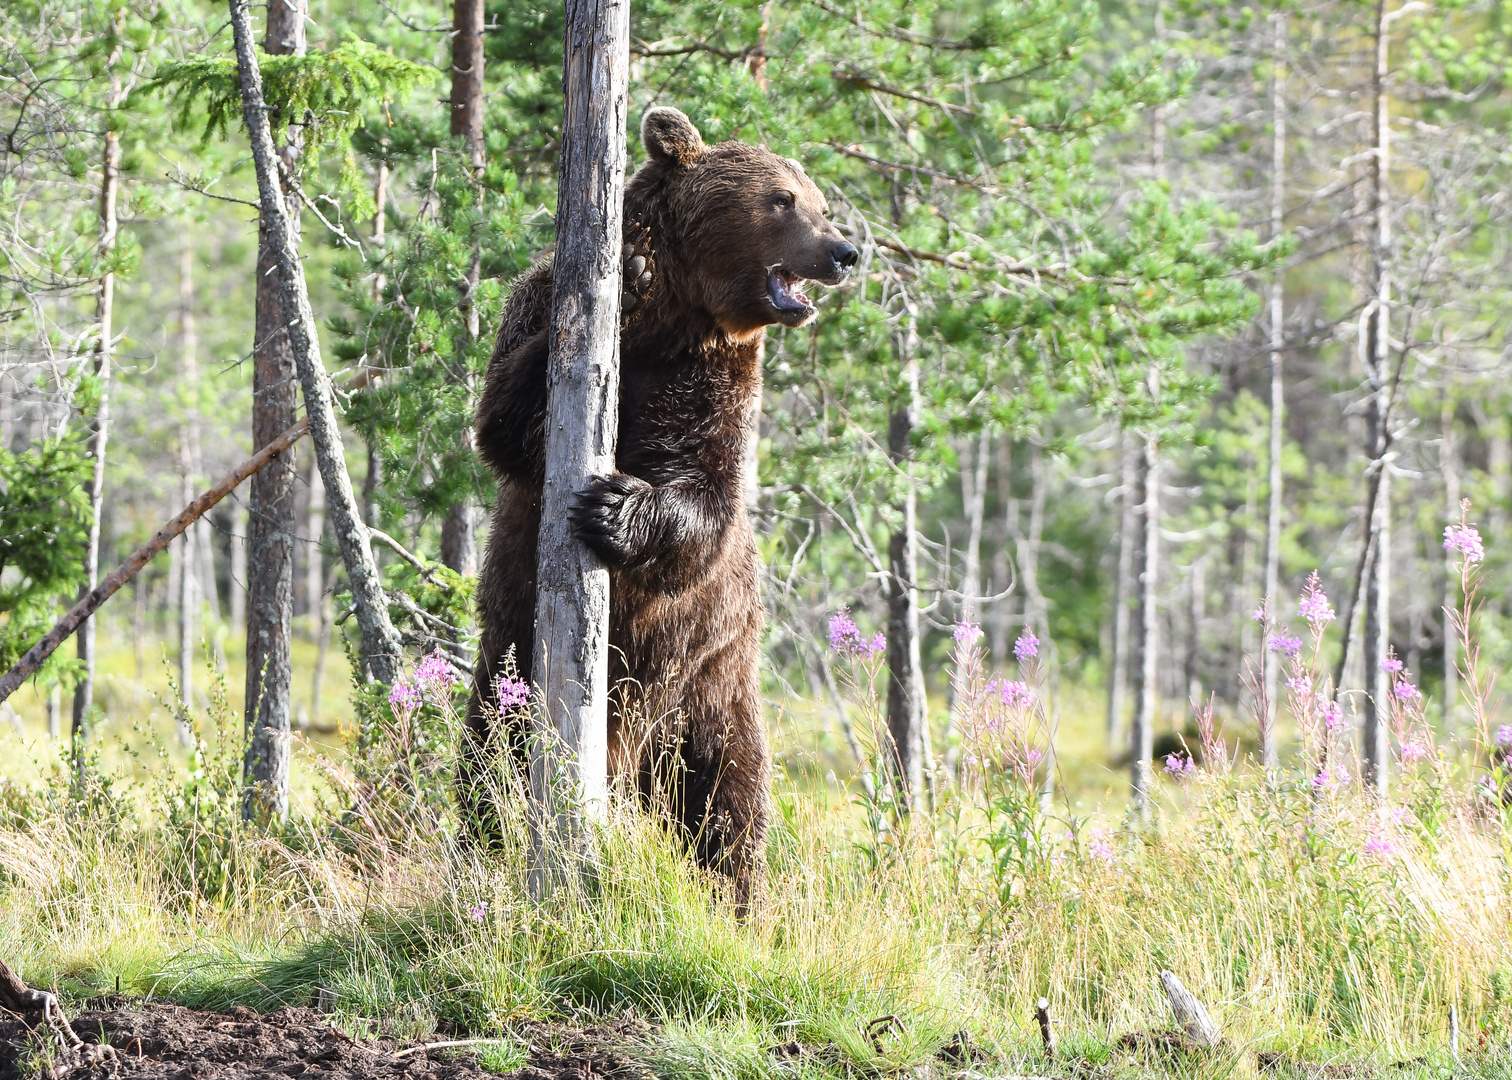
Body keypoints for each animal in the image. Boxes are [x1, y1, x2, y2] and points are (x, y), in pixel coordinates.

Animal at [459, 107, 858, 907]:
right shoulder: (542, 306)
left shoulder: (718, 382)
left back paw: (738, 899)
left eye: (819, 201)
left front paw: (615, 504)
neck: (677, 321)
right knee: (488, 756)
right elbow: (506, 422)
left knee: (730, 800)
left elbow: (708, 497)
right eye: (783, 200)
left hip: (709, 683)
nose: (845, 251)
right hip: (512, 657)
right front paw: (630, 277)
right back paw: (480, 842)